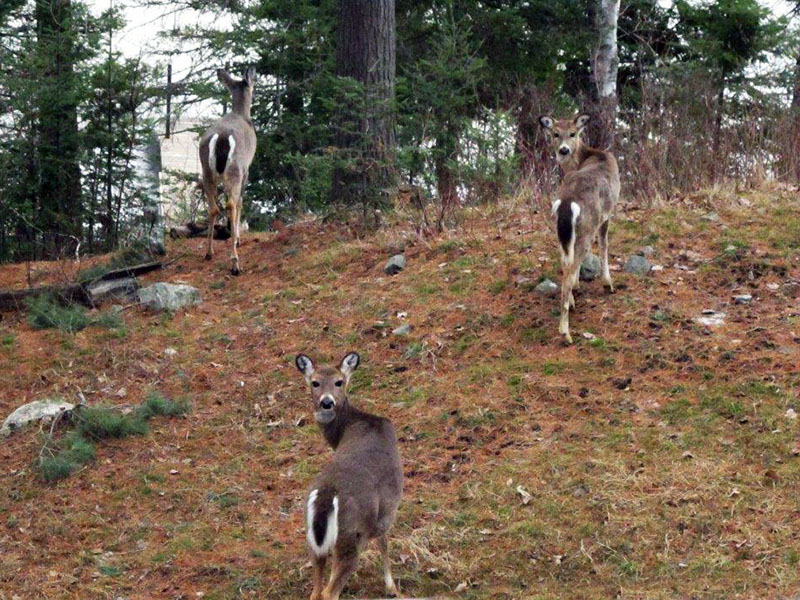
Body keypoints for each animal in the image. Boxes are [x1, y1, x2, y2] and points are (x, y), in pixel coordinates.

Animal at [198, 67, 256, 275]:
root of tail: (222, 137)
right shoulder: (247, 169)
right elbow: (240, 202)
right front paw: (237, 238)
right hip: (235, 169)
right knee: (231, 203)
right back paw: (235, 263)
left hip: (206, 169)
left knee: (213, 207)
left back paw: (209, 252)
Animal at [295, 352, 403, 600]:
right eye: (314, 382)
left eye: (339, 382)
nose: (326, 402)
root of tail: (328, 494)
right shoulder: (386, 511)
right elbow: (384, 542)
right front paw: (391, 587)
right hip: (351, 536)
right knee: (329, 592)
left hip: (313, 540)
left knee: (316, 591)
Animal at [538, 114, 620, 343]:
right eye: (555, 134)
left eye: (572, 133)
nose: (564, 150)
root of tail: (567, 202)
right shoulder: (607, 214)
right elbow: (604, 246)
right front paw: (608, 283)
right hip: (588, 225)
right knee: (573, 263)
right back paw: (565, 331)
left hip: (560, 231)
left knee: (565, 261)